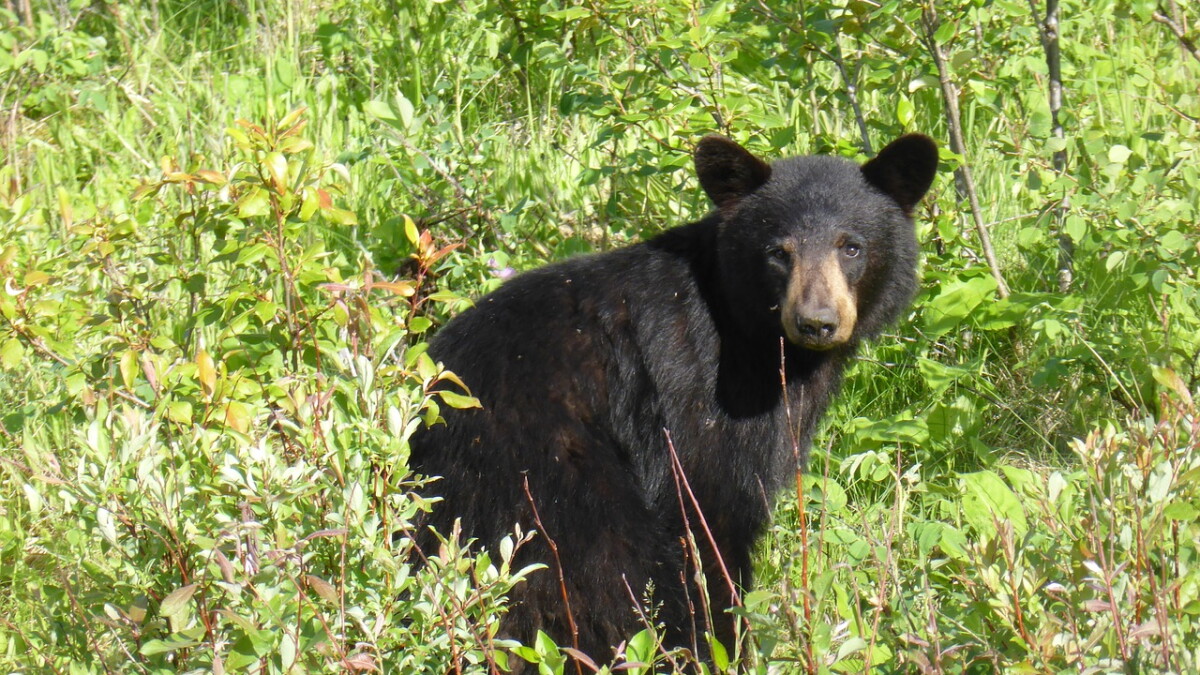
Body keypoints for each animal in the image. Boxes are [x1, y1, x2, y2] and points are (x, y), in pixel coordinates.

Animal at [408, 133, 938, 666]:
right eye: (778, 252)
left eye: (851, 247)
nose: (816, 322)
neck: (750, 335)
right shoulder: (697, 396)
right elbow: (710, 516)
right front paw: (725, 647)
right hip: (550, 488)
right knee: (615, 572)